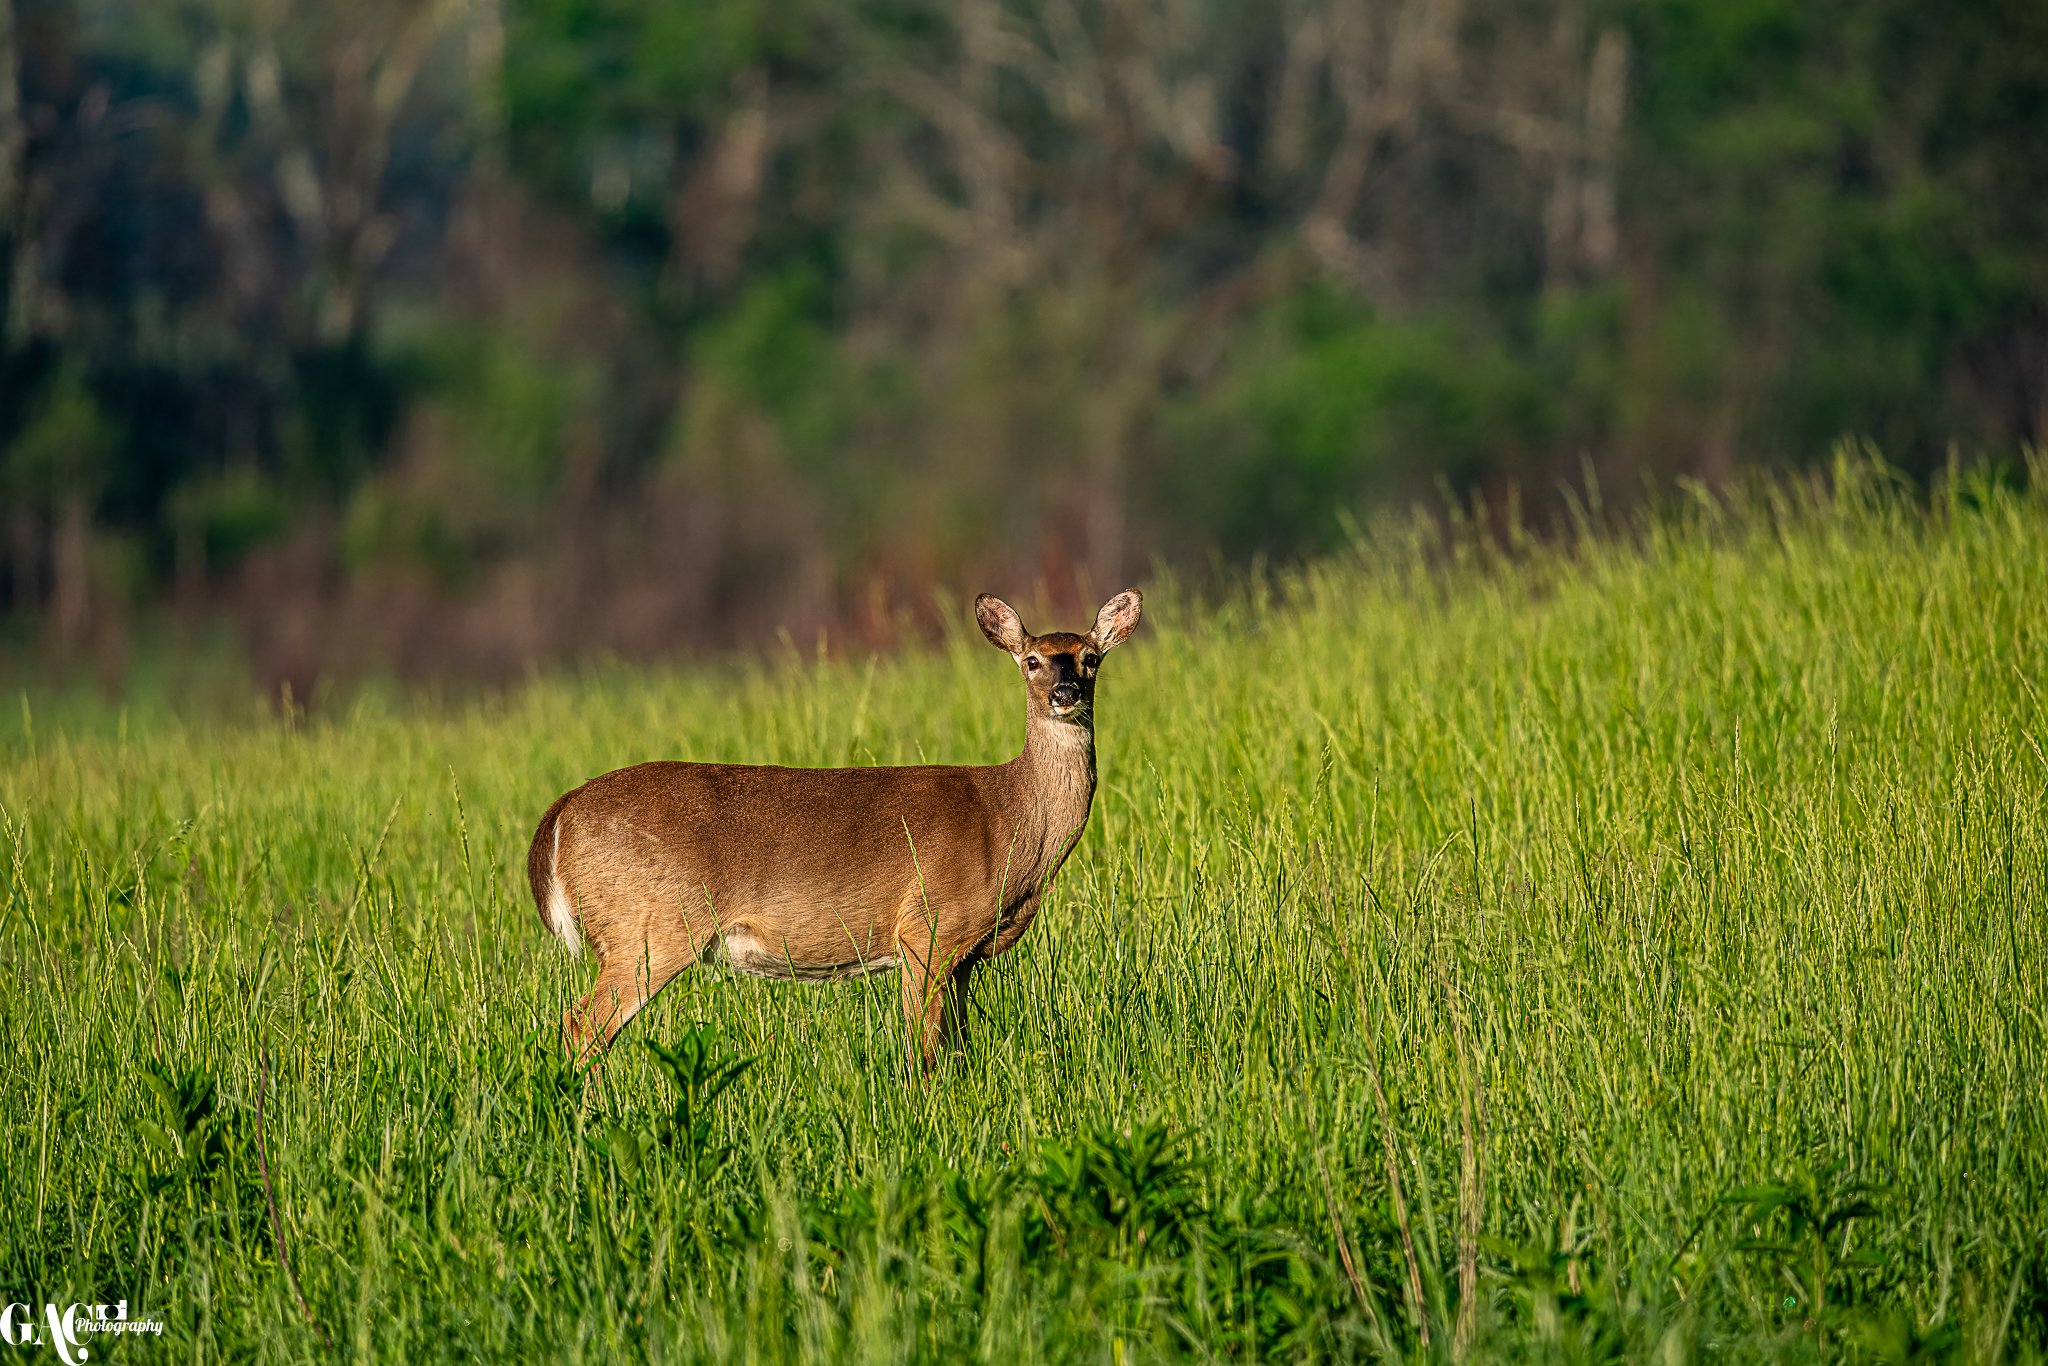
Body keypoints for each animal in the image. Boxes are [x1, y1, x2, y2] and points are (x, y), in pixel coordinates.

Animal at [526, 589, 1142, 1072]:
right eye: (1032, 661)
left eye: (1090, 658)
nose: (1066, 693)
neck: (1009, 820)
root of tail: (561, 813)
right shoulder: (926, 927)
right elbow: (924, 1051)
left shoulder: (967, 955)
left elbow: (960, 1050)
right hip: (647, 926)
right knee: (582, 1027)